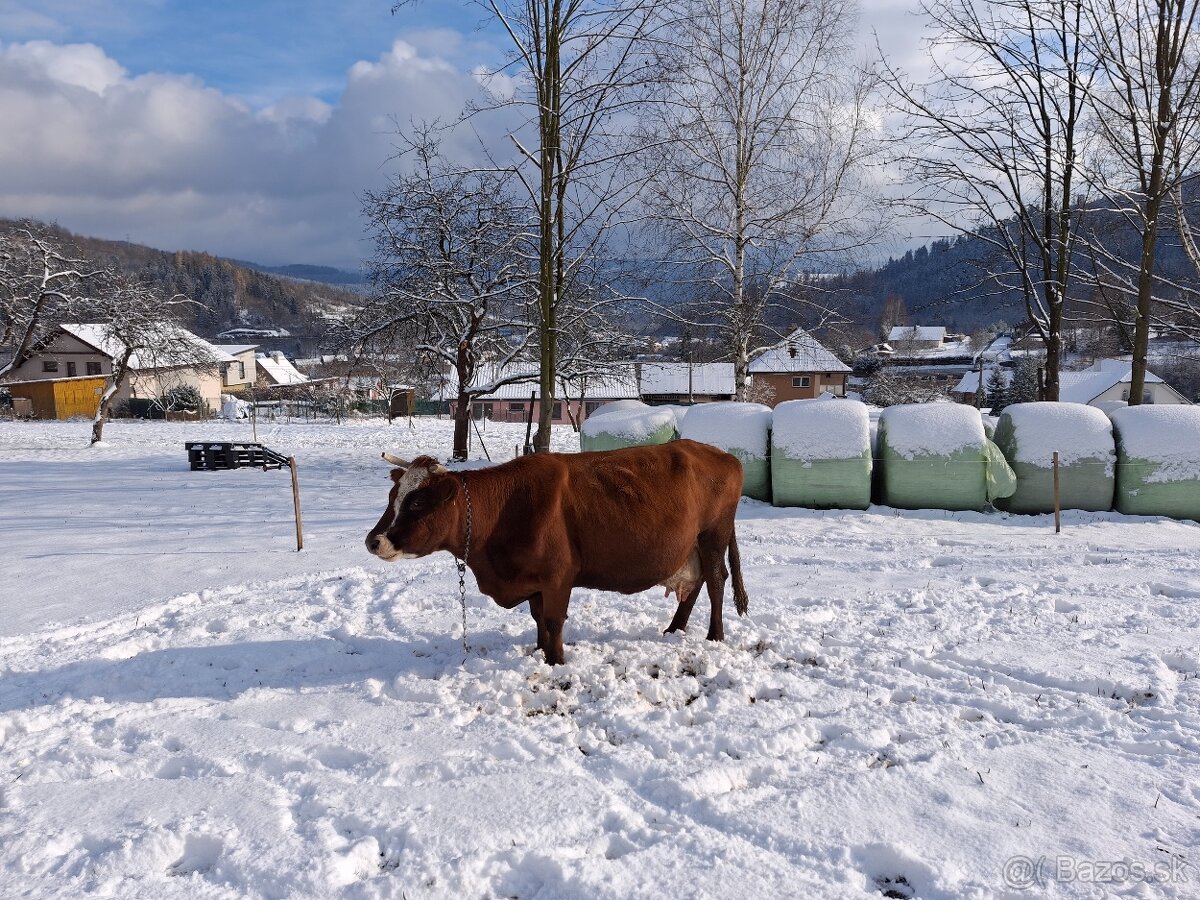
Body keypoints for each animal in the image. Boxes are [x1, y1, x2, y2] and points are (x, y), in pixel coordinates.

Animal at [364, 441, 744, 667]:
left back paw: (715, 635)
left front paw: (556, 661)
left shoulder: (559, 575)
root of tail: (720, 453)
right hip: (692, 545)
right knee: (695, 584)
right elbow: (537, 618)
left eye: (416, 502)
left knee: (715, 581)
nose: (373, 541)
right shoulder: (532, 579)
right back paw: (674, 630)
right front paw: (539, 651)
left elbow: (553, 619)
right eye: (392, 497)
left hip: (713, 536)